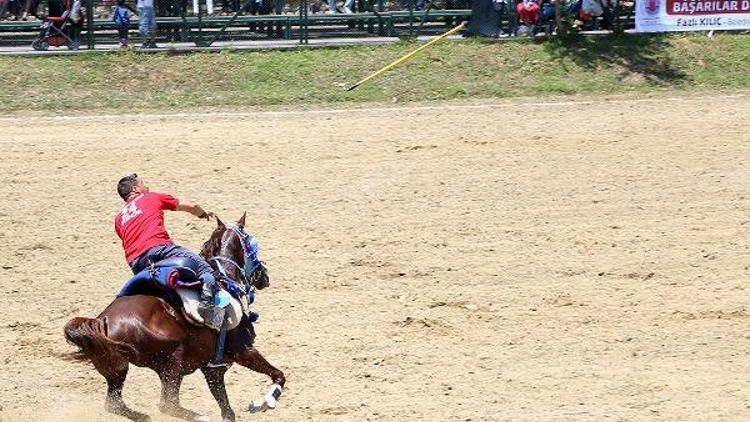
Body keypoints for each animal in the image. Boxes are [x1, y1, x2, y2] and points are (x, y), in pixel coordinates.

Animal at [64, 214, 284, 422]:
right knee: (167, 403)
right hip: (173, 362)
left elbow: (227, 410)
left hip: (116, 368)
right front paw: (265, 402)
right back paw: (200, 417)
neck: (225, 279)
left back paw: (144, 417)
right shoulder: (243, 350)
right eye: (252, 243)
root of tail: (101, 321)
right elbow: (278, 375)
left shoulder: (213, 371)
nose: (265, 275)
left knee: (114, 403)